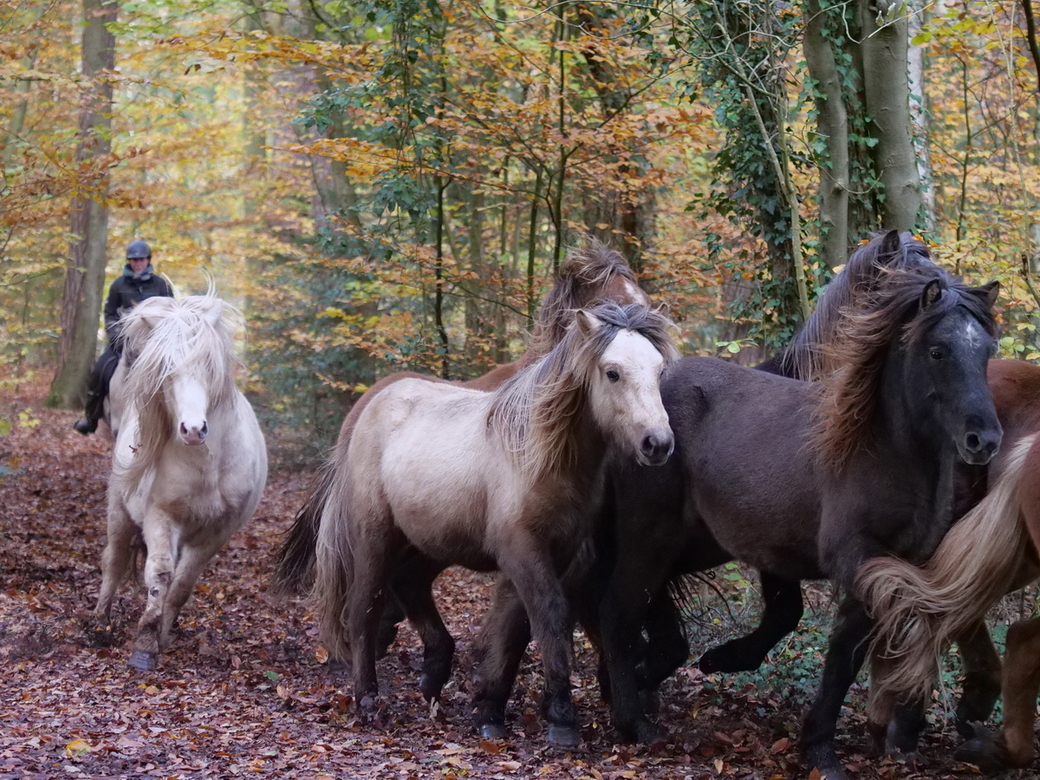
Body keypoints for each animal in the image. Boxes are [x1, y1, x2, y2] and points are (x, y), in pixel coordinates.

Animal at [90, 293, 268, 673]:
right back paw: (98, 624)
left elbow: (183, 584)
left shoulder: (217, 532)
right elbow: (160, 574)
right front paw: (145, 645)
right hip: (119, 513)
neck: (208, 466)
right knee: (113, 562)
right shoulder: (160, 518)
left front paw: (164, 635)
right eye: (166, 371)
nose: (193, 430)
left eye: (210, 367)